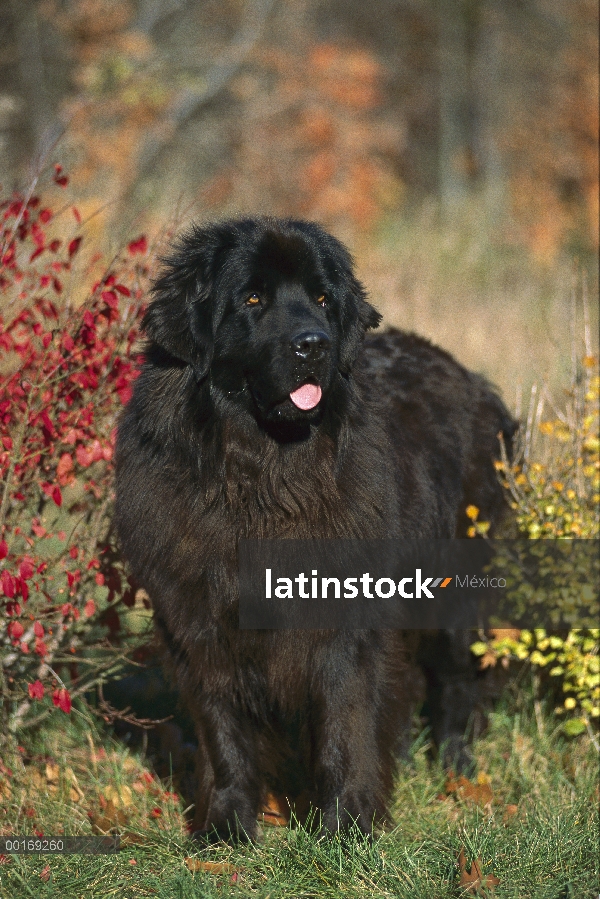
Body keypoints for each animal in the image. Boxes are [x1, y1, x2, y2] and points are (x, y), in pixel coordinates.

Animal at [116, 220, 516, 844]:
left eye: (324, 300)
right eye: (252, 299)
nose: (314, 344)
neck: (262, 480)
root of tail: (468, 376)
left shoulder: (347, 624)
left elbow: (345, 723)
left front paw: (347, 828)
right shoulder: (200, 622)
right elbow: (223, 733)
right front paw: (226, 832)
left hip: (458, 585)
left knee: (457, 685)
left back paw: (457, 772)